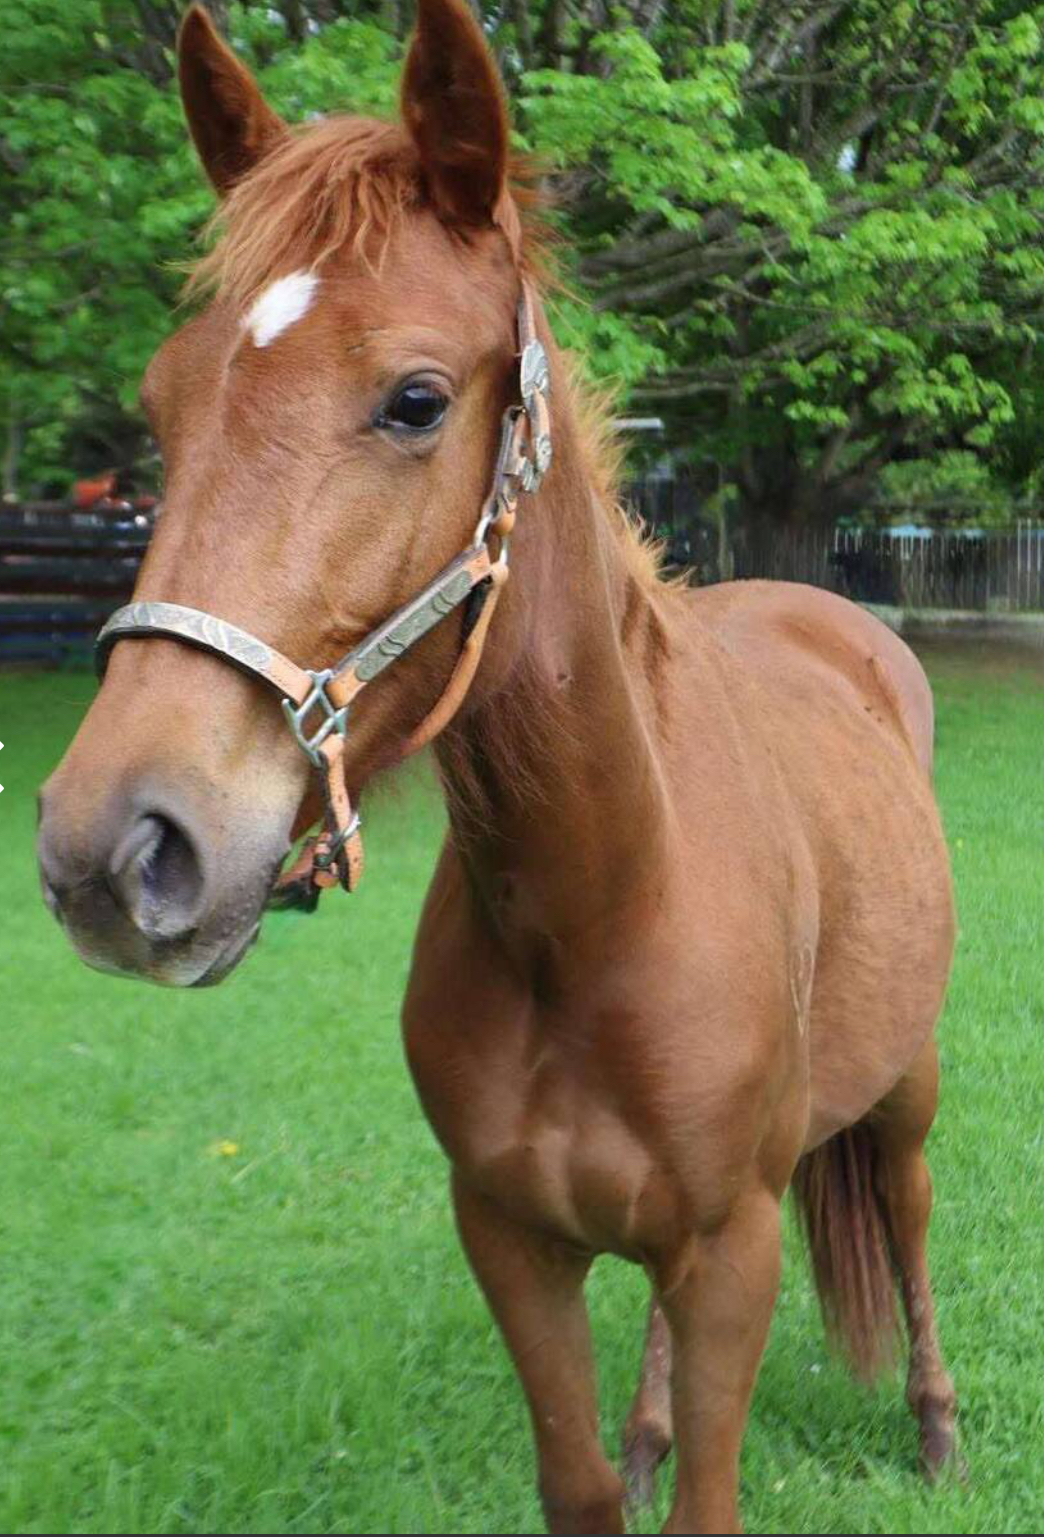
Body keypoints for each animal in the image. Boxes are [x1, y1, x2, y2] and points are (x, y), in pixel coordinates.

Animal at [37, 4, 959, 1531]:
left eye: (415, 400)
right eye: (162, 407)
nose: (113, 849)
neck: (600, 910)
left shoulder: (737, 1249)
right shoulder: (512, 1240)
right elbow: (583, 1484)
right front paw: (629, 1456)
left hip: (906, 1085)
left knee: (908, 1207)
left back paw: (939, 1425)